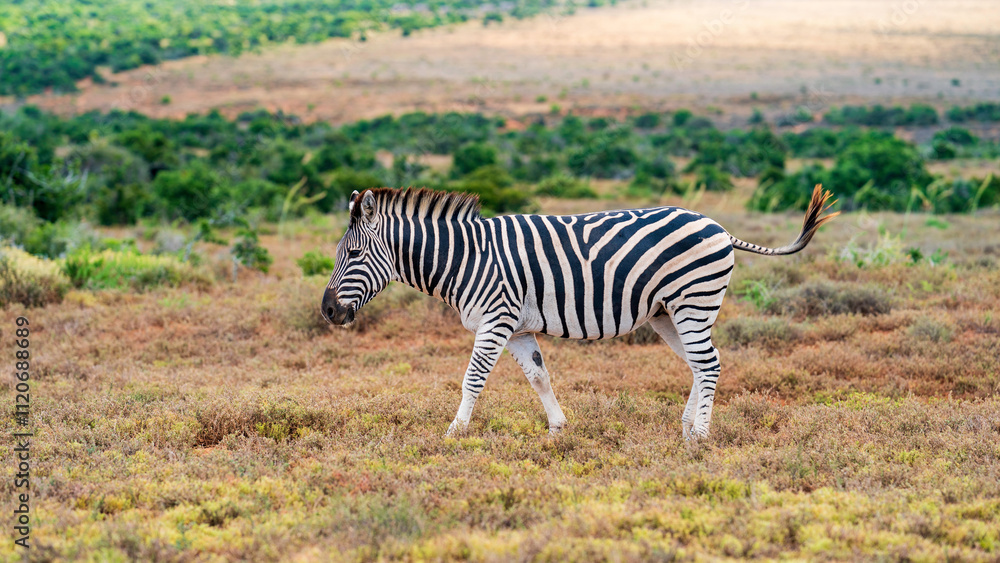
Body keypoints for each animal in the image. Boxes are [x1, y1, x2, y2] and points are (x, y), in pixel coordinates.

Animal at [322, 185, 837, 439]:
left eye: (353, 255)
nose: (327, 312)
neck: (467, 257)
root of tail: (718, 226)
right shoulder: (517, 327)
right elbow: (538, 376)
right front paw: (557, 428)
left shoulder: (495, 319)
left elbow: (472, 380)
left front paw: (454, 431)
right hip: (666, 312)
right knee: (700, 364)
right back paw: (688, 427)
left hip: (693, 300)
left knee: (707, 364)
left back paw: (703, 435)